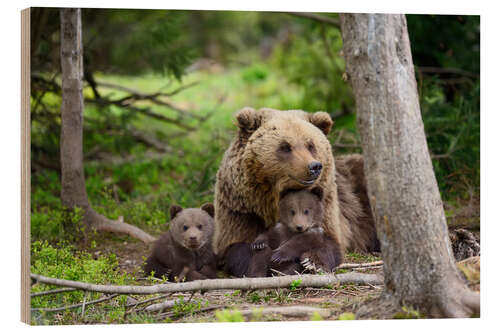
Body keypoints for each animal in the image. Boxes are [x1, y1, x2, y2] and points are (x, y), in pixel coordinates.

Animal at [212, 105, 378, 272]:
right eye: (285, 146)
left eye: (310, 145)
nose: (314, 166)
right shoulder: (243, 210)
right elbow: (237, 246)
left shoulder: (325, 206)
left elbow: (329, 242)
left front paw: (312, 261)